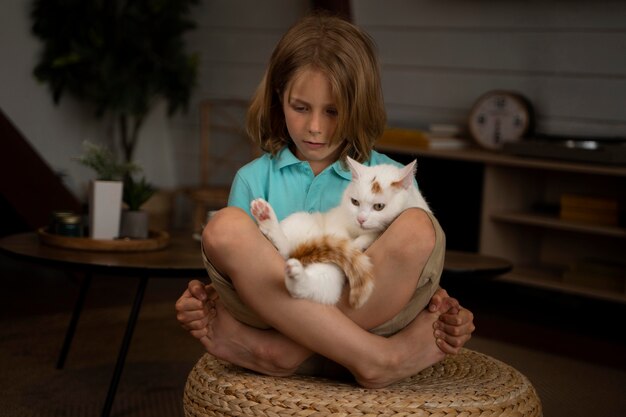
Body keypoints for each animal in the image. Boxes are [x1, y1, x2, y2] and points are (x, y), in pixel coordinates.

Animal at [249, 156, 428, 308]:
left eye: (379, 206)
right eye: (355, 202)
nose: (360, 219)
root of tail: (299, 257)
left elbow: (370, 235)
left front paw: (360, 243)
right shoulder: (338, 219)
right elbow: (340, 234)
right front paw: (350, 242)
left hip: (329, 278)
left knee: (308, 287)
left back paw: (296, 274)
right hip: (300, 221)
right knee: (285, 249)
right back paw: (267, 219)